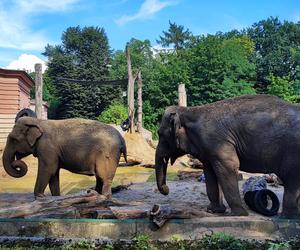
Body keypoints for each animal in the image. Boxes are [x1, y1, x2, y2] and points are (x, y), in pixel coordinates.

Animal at [156, 94, 300, 218]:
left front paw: (237, 214)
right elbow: (210, 172)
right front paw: (214, 211)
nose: (166, 190)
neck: (190, 110)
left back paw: (287, 217)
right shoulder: (208, 148)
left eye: (160, 134)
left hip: (293, 152)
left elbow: (228, 166)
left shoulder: (217, 141)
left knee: (292, 179)